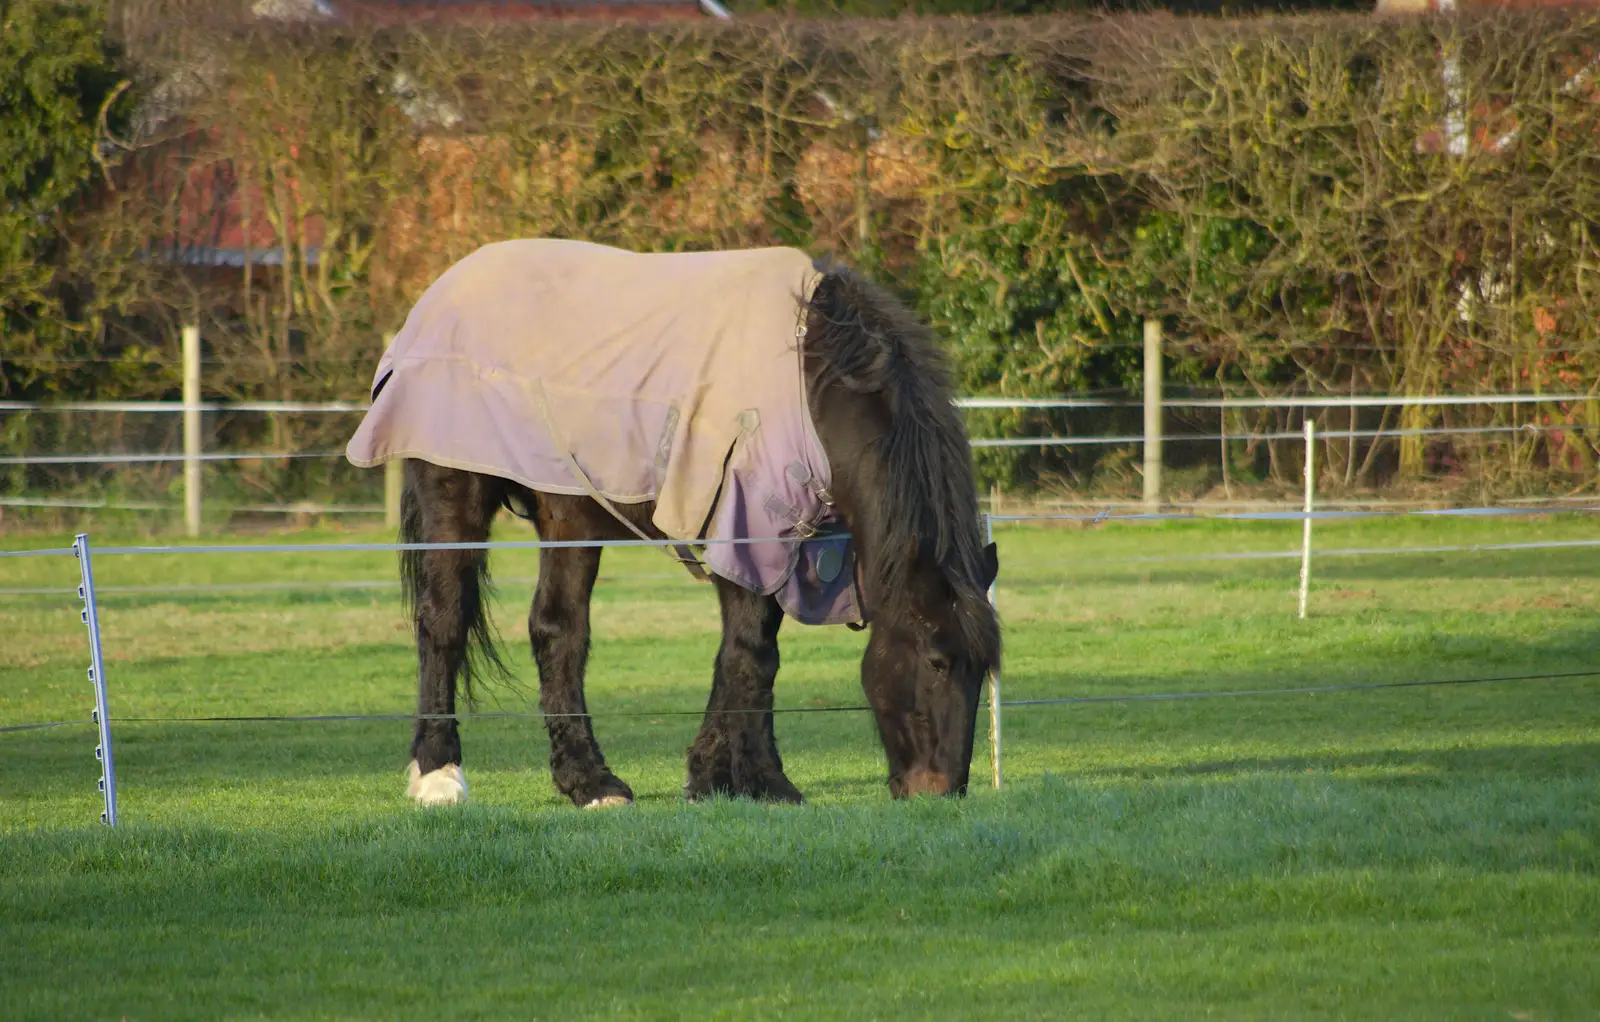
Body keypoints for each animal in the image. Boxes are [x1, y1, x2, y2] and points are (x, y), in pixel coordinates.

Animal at [347, 239, 998, 806]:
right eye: (937, 661)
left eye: (984, 672)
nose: (941, 791)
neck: (811, 380)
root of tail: (432, 303)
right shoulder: (745, 529)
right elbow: (753, 652)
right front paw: (765, 781)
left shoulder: (780, 546)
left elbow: (739, 654)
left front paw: (710, 775)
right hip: (454, 493)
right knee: (443, 622)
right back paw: (439, 774)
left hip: (569, 510)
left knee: (557, 630)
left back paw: (590, 782)